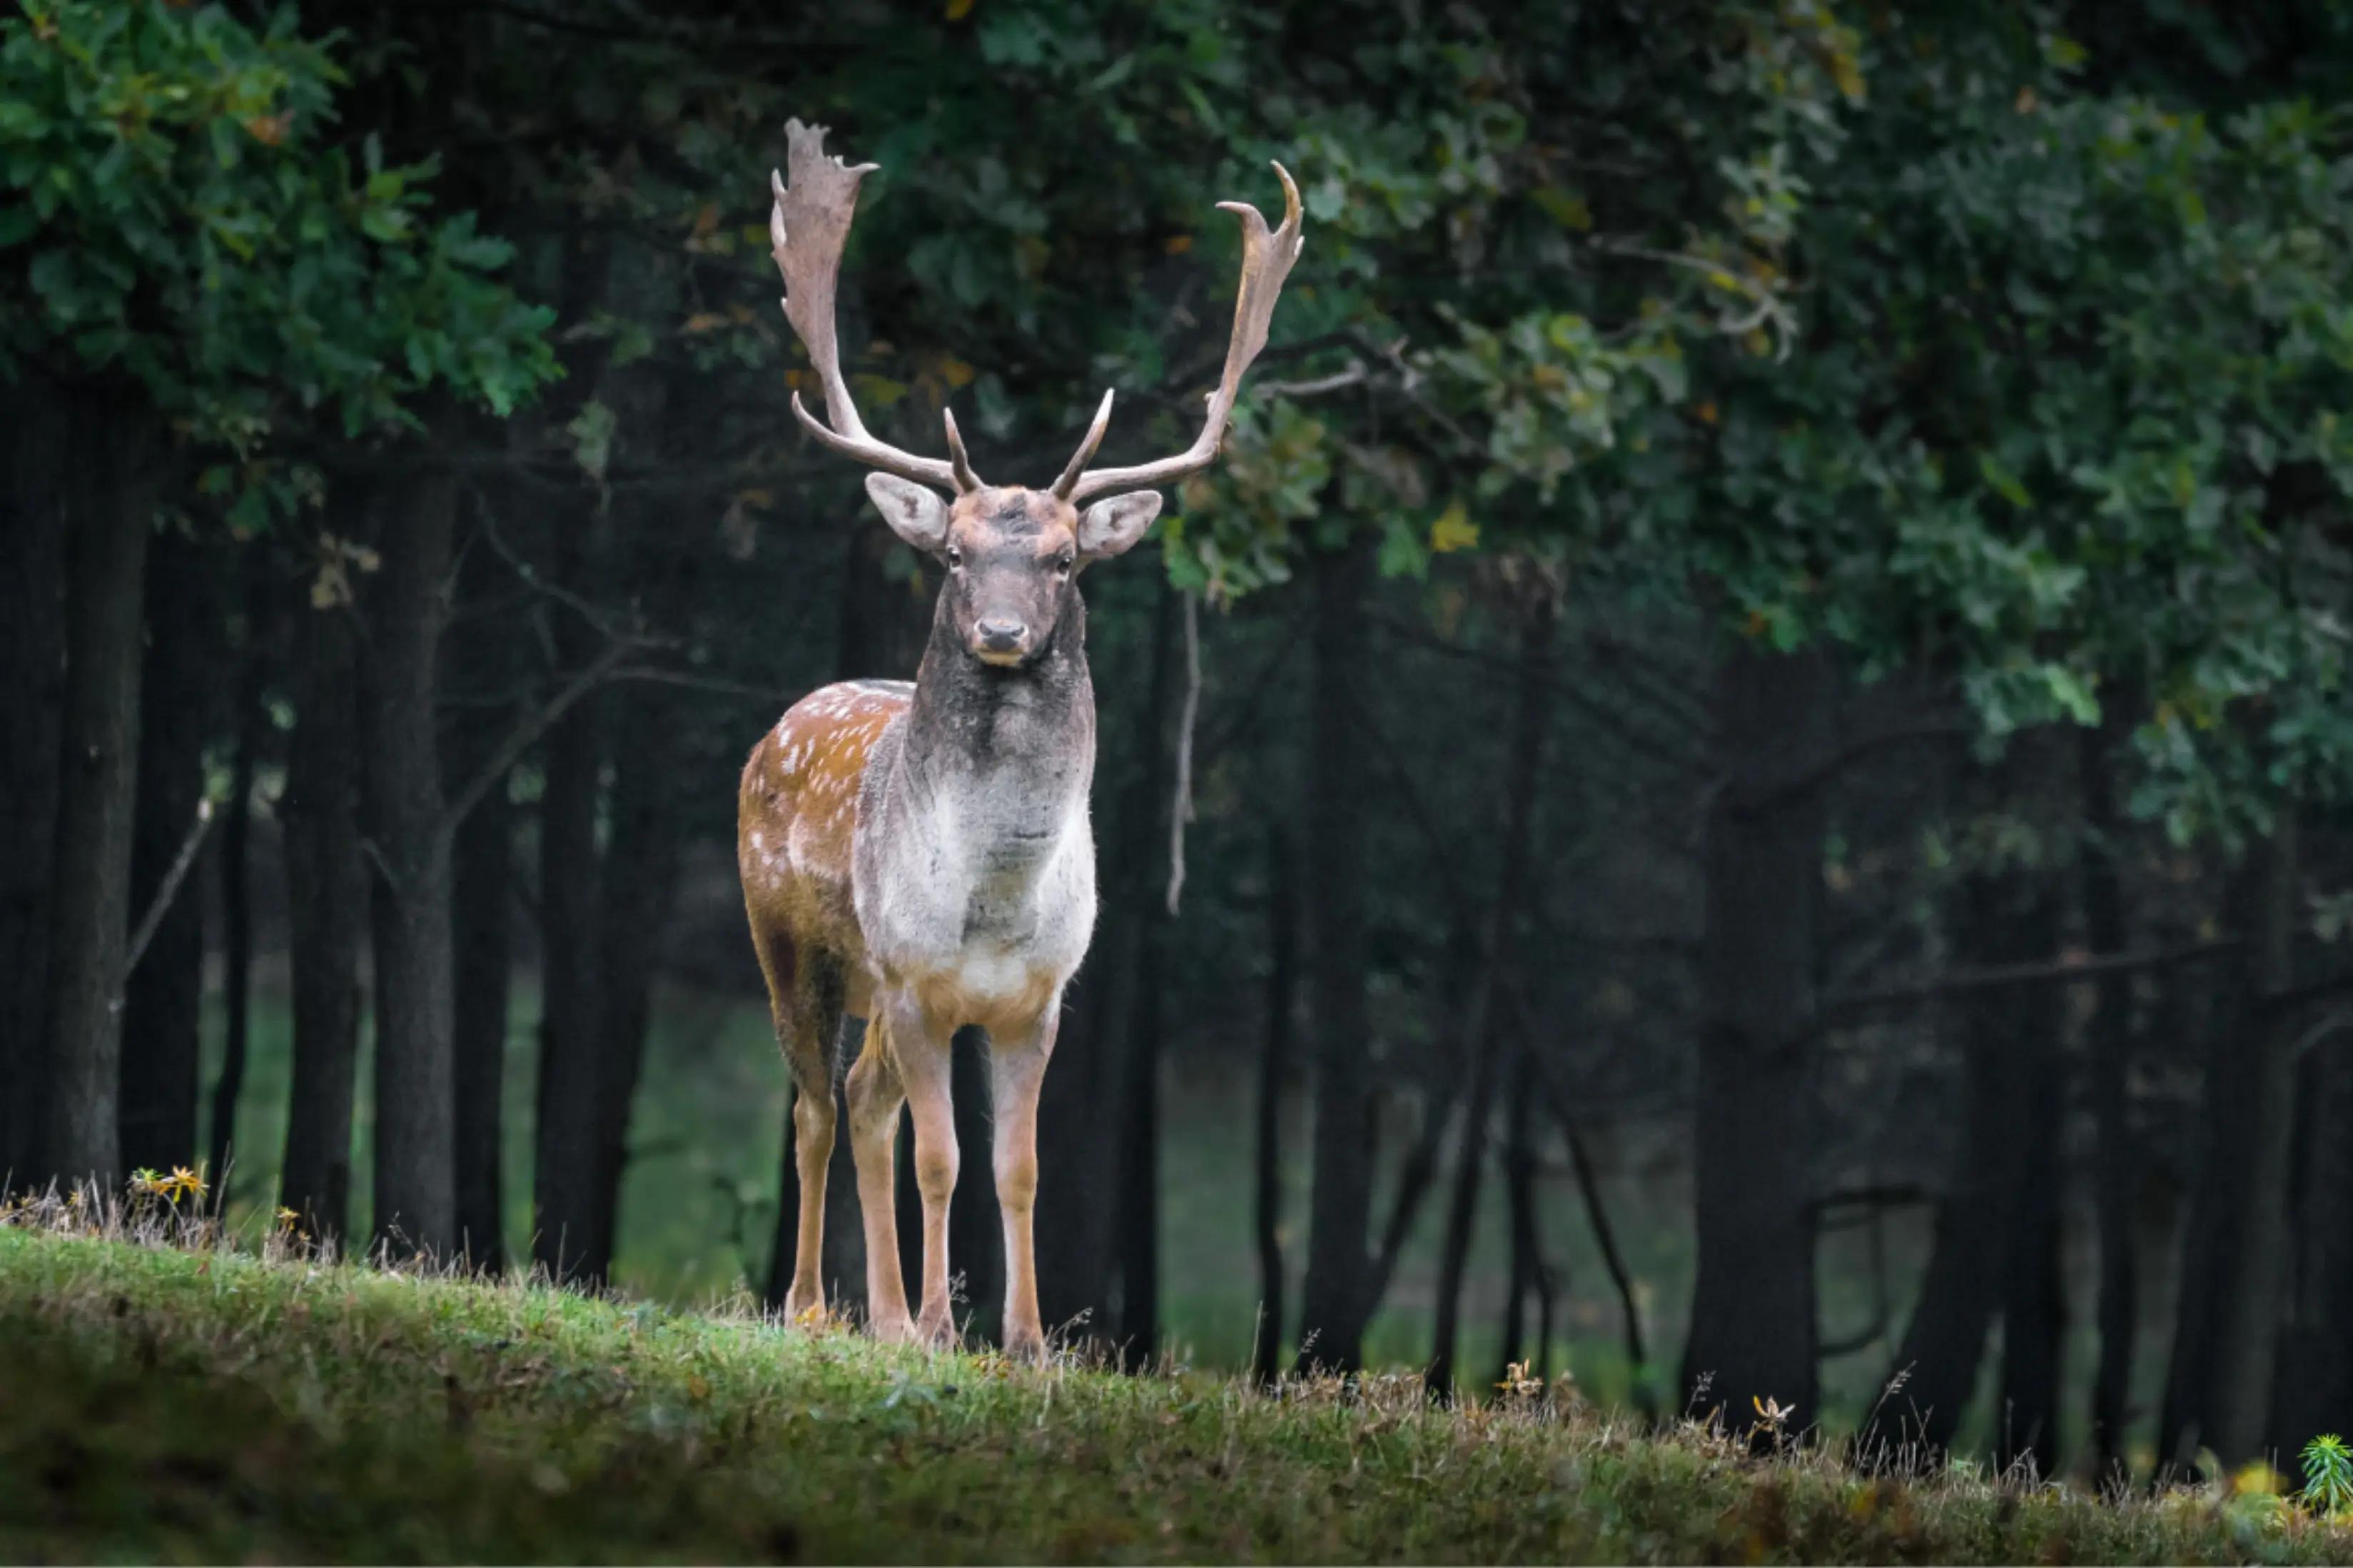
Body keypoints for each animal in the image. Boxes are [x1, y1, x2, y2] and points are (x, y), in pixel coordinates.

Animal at [739, 120, 1303, 1360]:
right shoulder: (915, 981)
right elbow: (942, 1159)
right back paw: (814, 1306)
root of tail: (778, 728)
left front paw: (1027, 1338)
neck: (994, 899)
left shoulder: (1039, 999)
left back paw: (880, 1315)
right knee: (813, 1105)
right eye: (953, 553)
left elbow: (1019, 1167)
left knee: (861, 1103)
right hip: (791, 944)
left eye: (1063, 558)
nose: (1000, 631)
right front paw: (941, 1326)